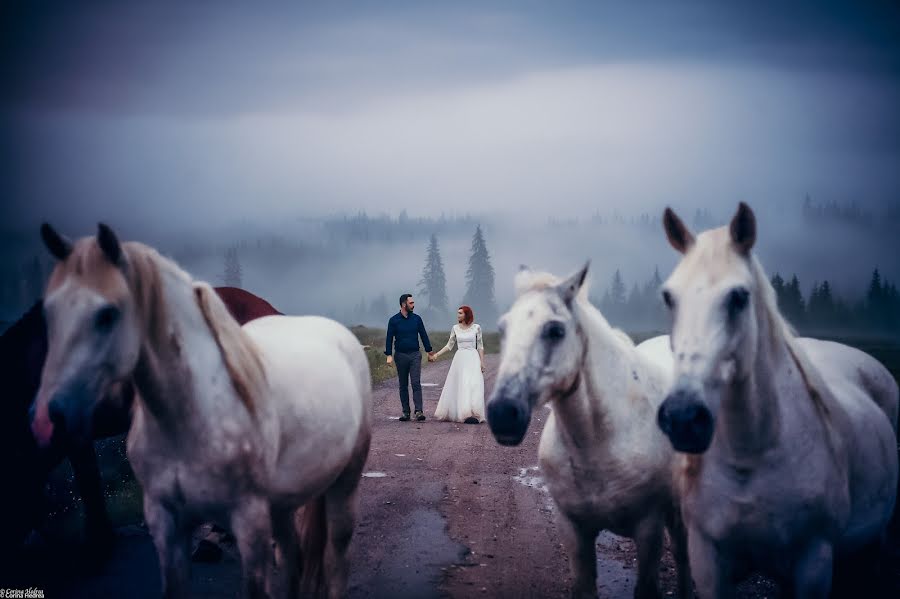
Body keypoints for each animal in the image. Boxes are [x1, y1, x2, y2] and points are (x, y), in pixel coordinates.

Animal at [29, 225, 370, 599]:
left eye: (107, 314)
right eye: (49, 314)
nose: (49, 417)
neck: (187, 419)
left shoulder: (250, 522)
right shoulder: (166, 523)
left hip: (344, 485)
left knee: (337, 555)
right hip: (283, 503)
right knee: (292, 555)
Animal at [486, 264, 688, 599]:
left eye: (555, 330)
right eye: (503, 329)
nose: (502, 414)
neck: (599, 442)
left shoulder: (649, 529)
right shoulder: (573, 529)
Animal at [652, 204, 900, 596]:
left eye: (739, 296)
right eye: (669, 297)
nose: (683, 418)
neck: (751, 456)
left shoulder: (815, 559)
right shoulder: (707, 558)